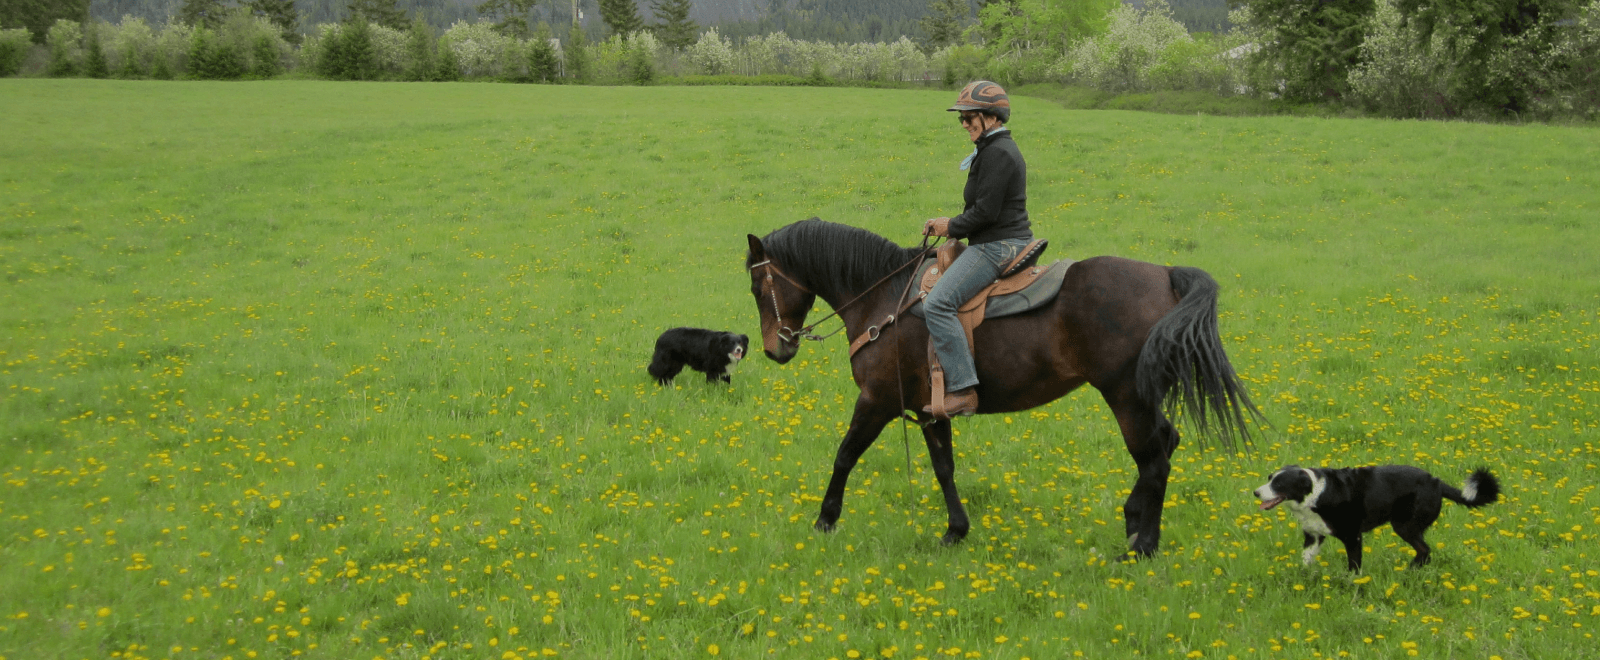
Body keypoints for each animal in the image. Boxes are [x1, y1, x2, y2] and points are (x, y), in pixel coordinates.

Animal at [745, 219, 1262, 557]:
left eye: (756, 286)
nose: (775, 349)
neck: (883, 300)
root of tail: (1167, 276)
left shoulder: (876, 401)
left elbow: (845, 456)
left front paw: (824, 520)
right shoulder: (929, 410)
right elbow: (944, 468)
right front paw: (955, 531)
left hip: (1127, 399)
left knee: (1155, 462)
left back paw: (1142, 548)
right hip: (1141, 399)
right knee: (1167, 444)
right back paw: (1134, 521)